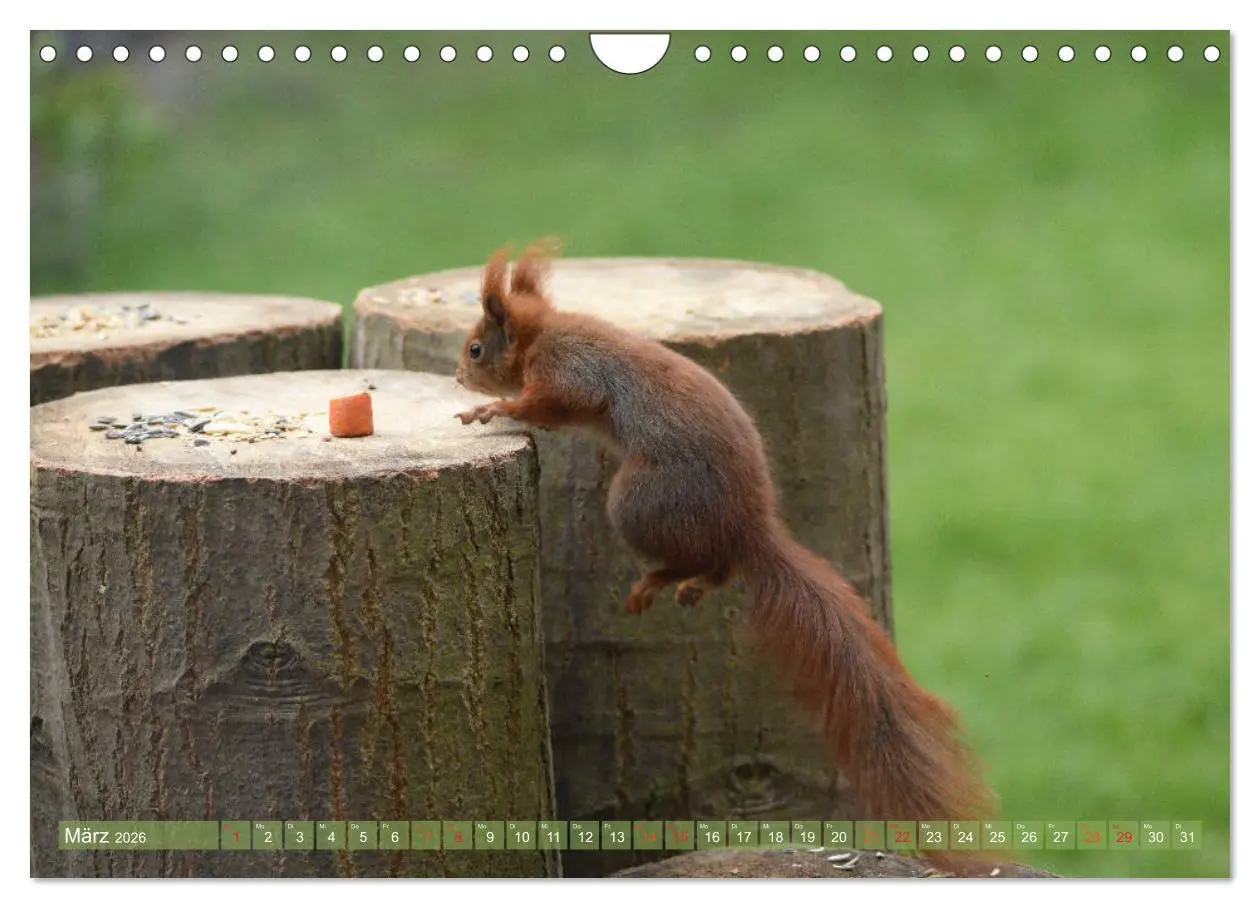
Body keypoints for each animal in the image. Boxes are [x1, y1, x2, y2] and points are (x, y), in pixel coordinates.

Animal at [454, 241, 1002, 872]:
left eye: (476, 348)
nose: (458, 374)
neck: (542, 334)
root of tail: (750, 528)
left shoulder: (570, 372)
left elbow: (553, 401)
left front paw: (492, 409)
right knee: (720, 567)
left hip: (639, 501)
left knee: (702, 558)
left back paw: (661, 580)